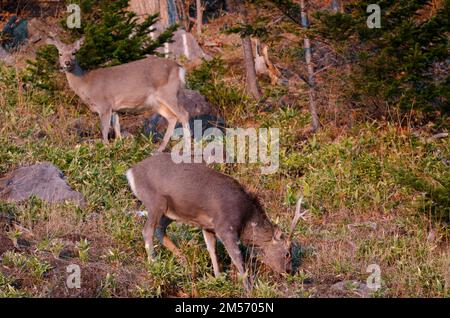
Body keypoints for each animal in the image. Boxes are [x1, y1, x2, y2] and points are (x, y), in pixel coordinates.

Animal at [46, 36, 191, 151]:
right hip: (156, 102)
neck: (86, 83)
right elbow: (116, 127)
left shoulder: (104, 104)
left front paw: (105, 148)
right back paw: (160, 148)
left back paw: (187, 147)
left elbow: (104, 128)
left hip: (169, 93)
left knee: (184, 114)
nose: (67, 63)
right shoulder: (115, 107)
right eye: (60, 53)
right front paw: (118, 145)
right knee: (172, 117)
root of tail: (180, 68)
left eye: (74, 53)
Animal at [125, 153, 302, 290]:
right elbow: (236, 257)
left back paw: (183, 260)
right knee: (147, 230)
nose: (289, 271)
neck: (246, 219)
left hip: (171, 211)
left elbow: (212, 249)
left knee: (160, 229)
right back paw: (155, 264)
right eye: (287, 253)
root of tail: (130, 172)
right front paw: (248, 287)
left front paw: (217, 278)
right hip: (155, 201)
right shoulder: (225, 226)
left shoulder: (208, 226)